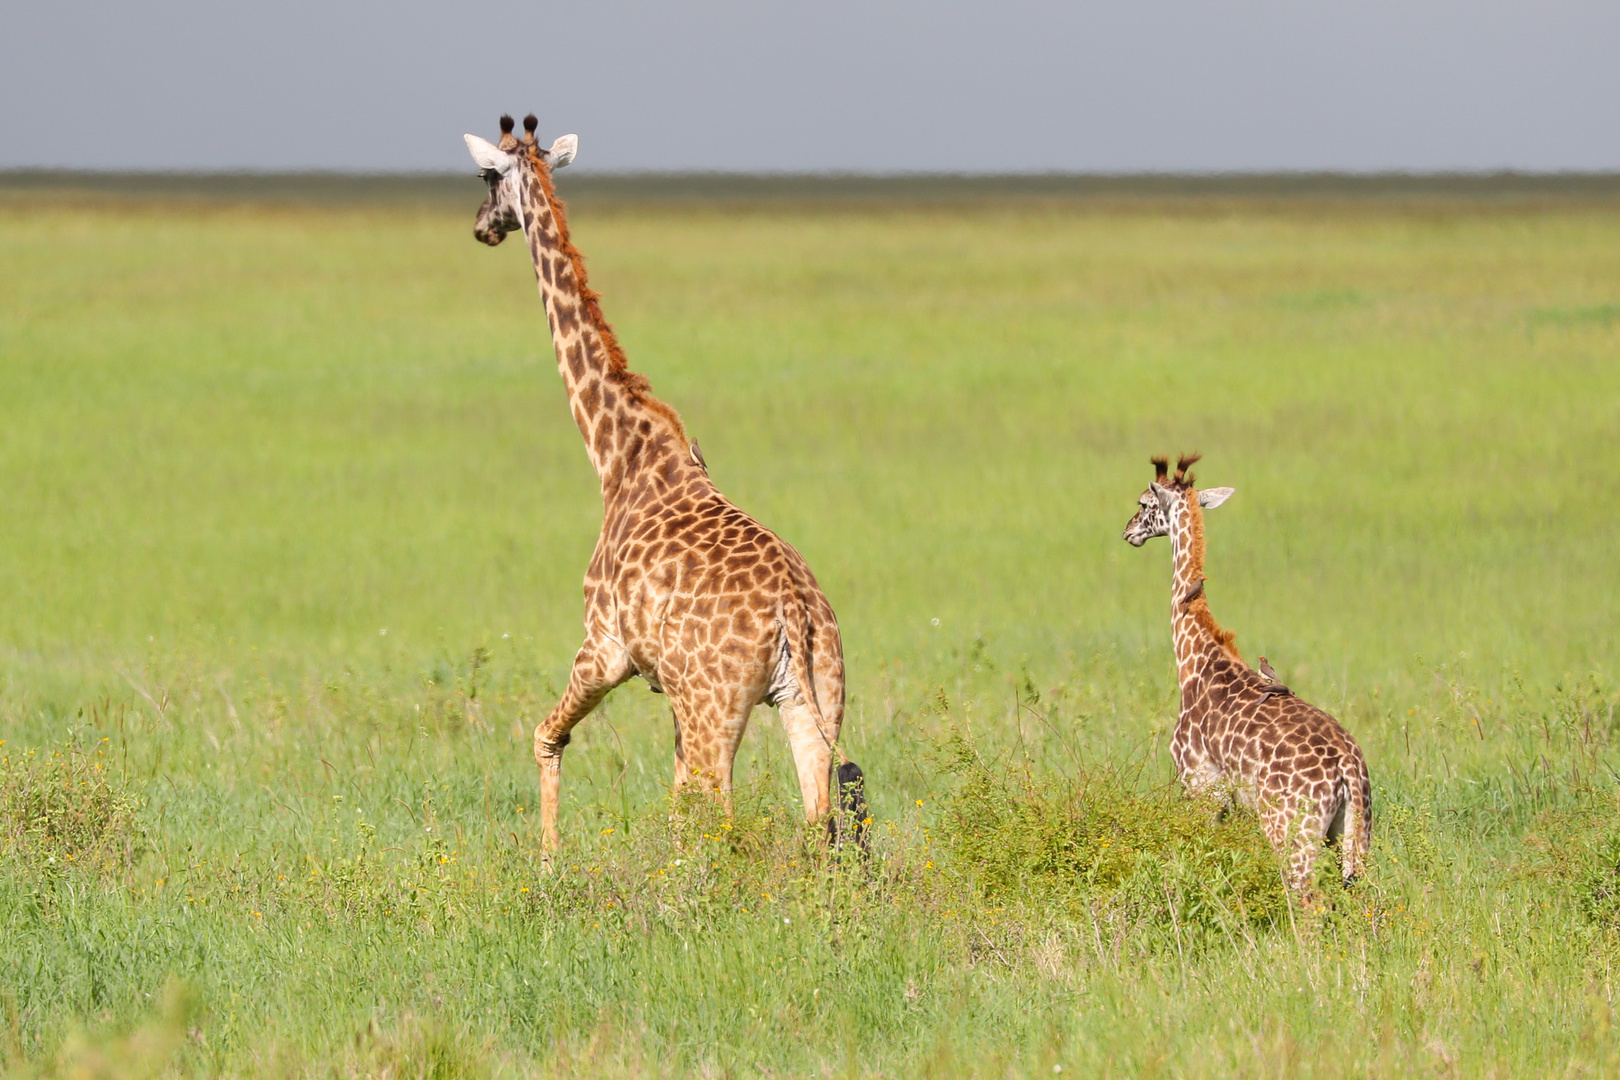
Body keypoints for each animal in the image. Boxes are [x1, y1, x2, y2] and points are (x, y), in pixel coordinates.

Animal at [463, 114, 868, 854]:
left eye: (485, 175)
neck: (616, 455)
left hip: (719, 703)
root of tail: (794, 612)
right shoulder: (665, 688)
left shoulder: (604, 648)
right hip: (817, 692)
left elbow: (546, 737)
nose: (483, 227)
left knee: (723, 806)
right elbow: (673, 799)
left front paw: (548, 862)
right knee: (818, 806)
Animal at [1127, 453, 1367, 893]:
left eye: (1144, 503)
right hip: (1353, 833)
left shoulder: (1201, 786)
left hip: (1290, 828)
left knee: (1305, 897)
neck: (1195, 657)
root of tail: (1349, 768)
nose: (1128, 531)